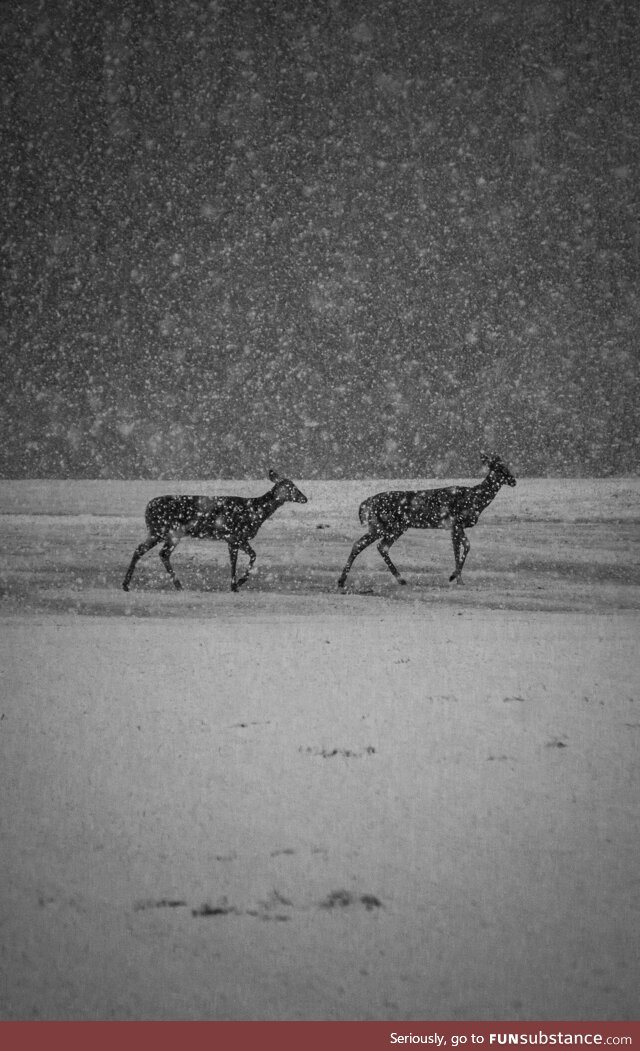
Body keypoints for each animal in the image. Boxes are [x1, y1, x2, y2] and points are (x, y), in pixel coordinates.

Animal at [122, 468, 308, 592]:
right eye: (290, 486)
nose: (304, 498)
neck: (254, 513)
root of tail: (147, 507)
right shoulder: (233, 536)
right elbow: (236, 561)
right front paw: (235, 585)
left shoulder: (238, 538)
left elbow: (251, 556)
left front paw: (238, 583)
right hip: (165, 531)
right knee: (158, 552)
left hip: (163, 533)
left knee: (148, 550)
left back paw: (129, 584)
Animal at [336, 454, 517, 592]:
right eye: (499, 468)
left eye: (506, 466)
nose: (514, 480)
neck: (475, 499)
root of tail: (365, 503)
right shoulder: (455, 522)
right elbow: (459, 548)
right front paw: (455, 577)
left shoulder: (455, 526)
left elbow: (464, 546)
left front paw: (456, 577)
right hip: (388, 525)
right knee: (374, 545)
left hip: (386, 527)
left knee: (368, 545)